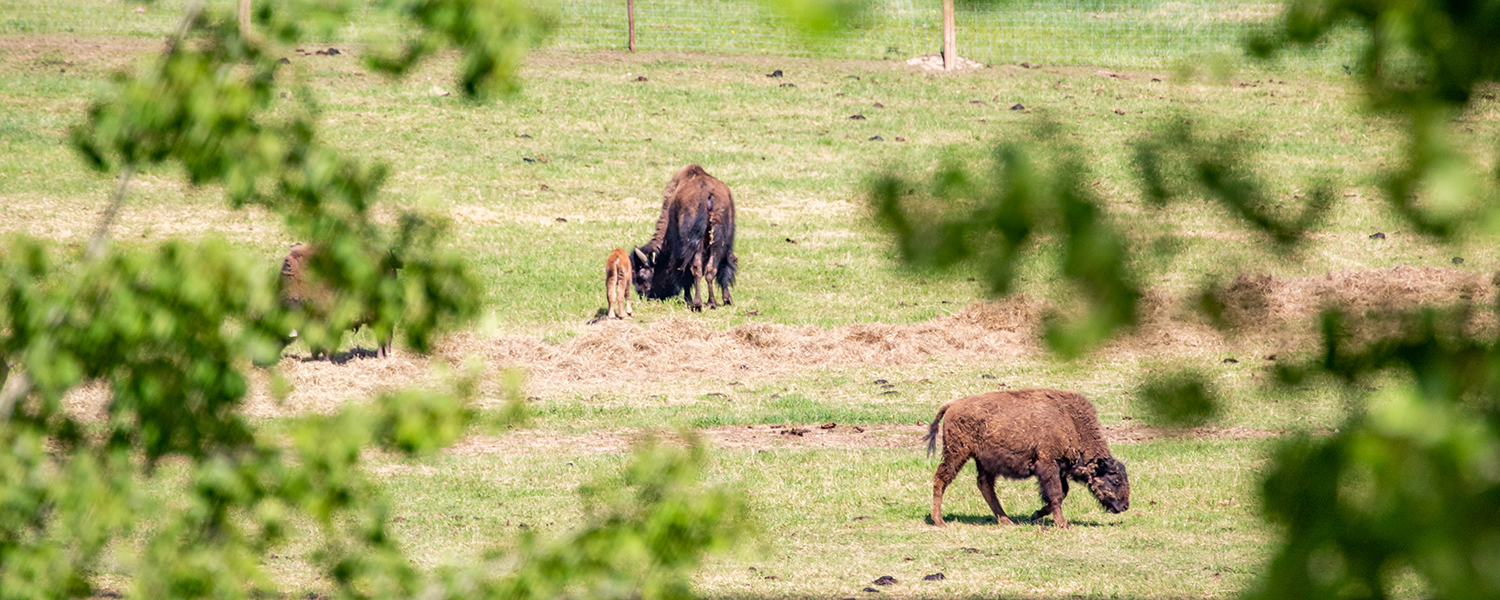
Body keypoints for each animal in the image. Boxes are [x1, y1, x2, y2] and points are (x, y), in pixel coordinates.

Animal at [630, 165, 735, 312]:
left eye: (641, 276)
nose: (643, 295)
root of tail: (707, 194)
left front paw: (688, 299)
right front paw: (727, 299)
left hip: (693, 243)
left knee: (696, 269)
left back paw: (697, 303)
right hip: (719, 242)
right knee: (712, 269)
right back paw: (713, 302)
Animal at [918, 390, 1128, 525]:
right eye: (1115, 480)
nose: (1125, 506)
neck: (1071, 423)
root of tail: (952, 404)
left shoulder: (1059, 470)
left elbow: (1061, 493)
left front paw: (1035, 515)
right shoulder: (1048, 466)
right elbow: (1056, 494)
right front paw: (1062, 524)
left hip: (984, 461)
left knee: (985, 485)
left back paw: (1006, 520)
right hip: (957, 453)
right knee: (941, 478)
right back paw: (939, 521)